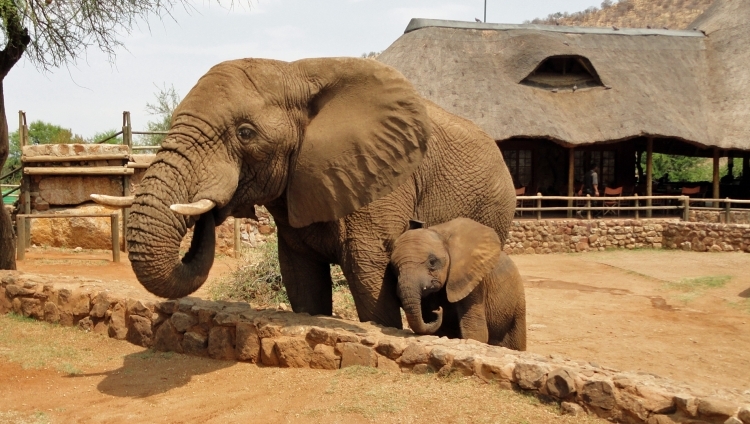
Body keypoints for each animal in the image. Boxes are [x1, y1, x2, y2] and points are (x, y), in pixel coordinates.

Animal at [95, 58, 516, 328]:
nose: (211, 211)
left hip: (494, 208)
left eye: (245, 133)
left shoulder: (382, 181)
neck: (295, 72)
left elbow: (369, 274)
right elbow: (300, 276)